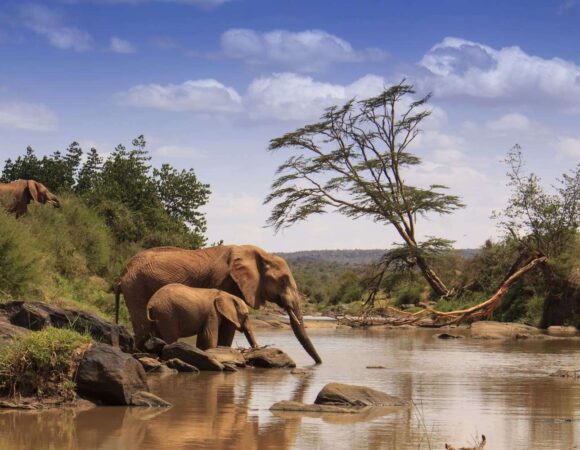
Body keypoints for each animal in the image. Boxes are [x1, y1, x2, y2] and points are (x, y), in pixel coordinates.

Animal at [115, 244, 324, 364]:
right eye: (284, 280)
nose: (319, 364)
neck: (261, 254)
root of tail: (123, 271)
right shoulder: (224, 281)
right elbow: (227, 326)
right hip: (136, 286)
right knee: (142, 325)